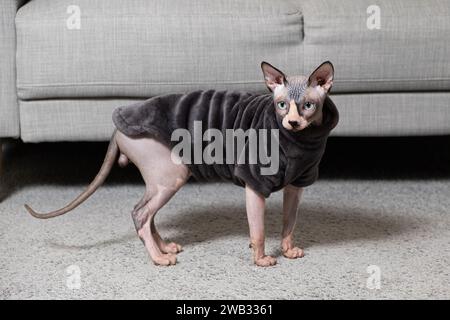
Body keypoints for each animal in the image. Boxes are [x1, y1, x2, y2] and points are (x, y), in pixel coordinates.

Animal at [25, 61, 338, 266]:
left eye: (308, 105)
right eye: (282, 105)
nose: (292, 122)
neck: (300, 141)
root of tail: (118, 124)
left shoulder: (297, 184)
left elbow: (289, 222)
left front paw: (288, 250)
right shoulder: (254, 184)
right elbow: (258, 230)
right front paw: (261, 259)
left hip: (161, 179)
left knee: (145, 214)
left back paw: (165, 247)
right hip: (171, 174)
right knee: (140, 214)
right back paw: (159, 258)